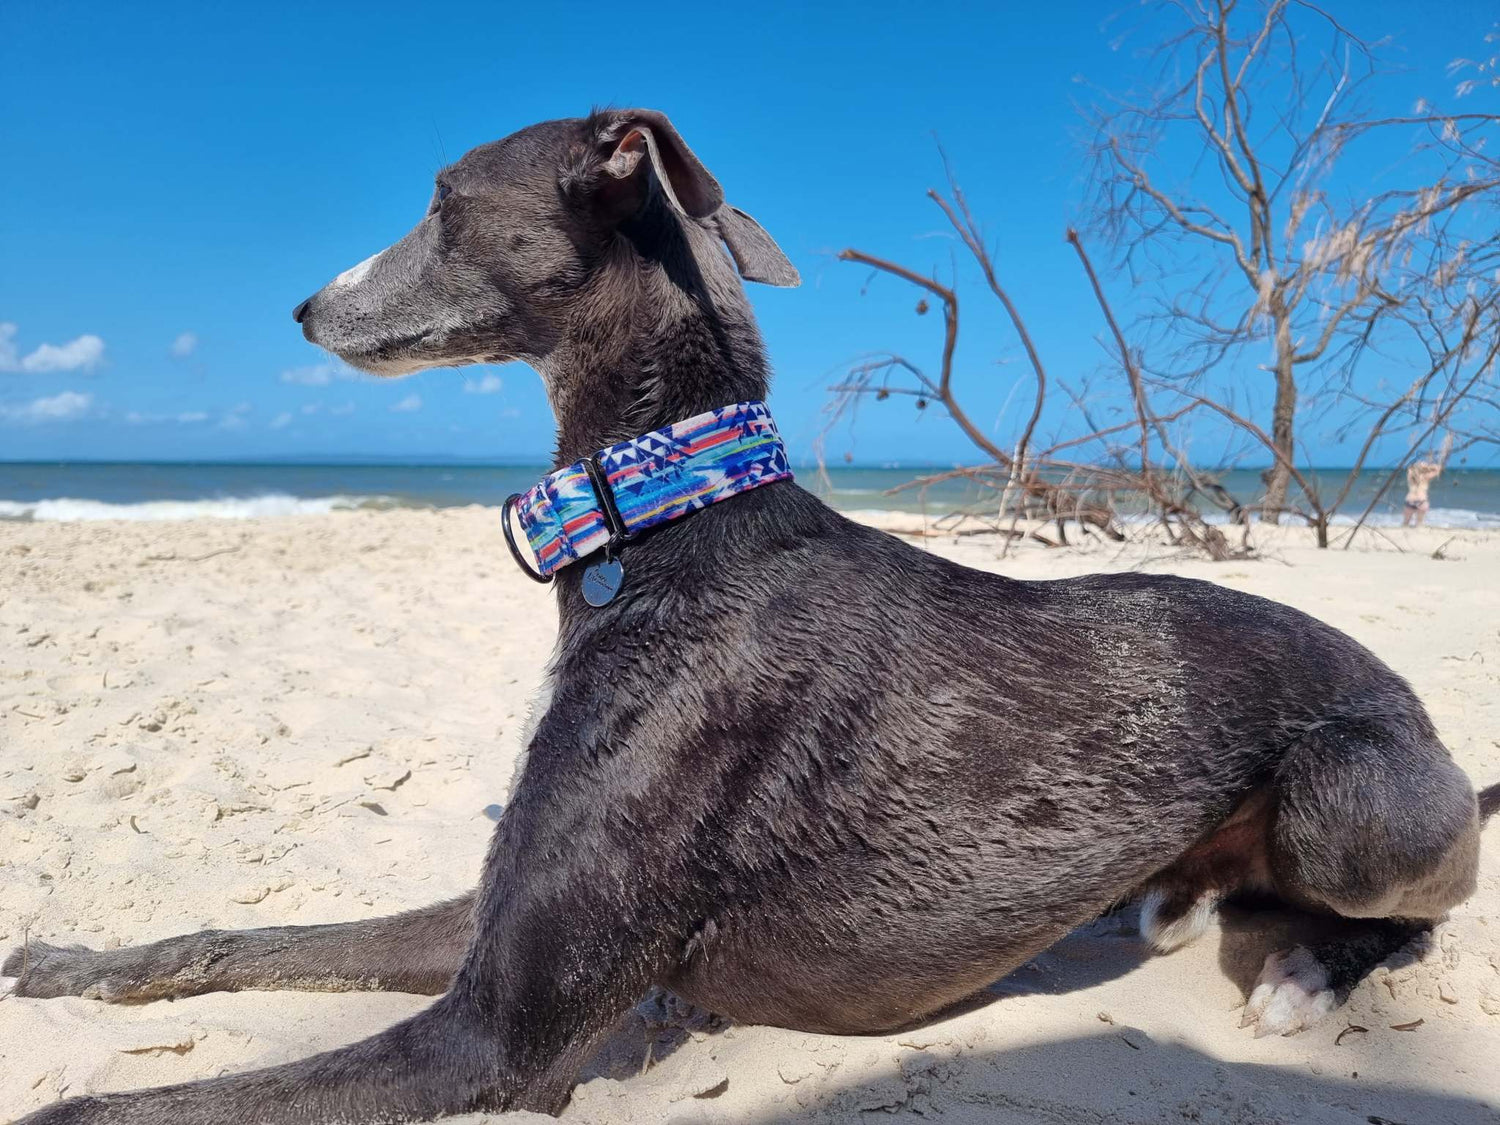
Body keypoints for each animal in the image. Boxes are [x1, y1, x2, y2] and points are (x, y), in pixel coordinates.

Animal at [5, 108, 1494, 1125]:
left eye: (440, 199)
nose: (305, 307)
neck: (668, 521)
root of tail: (1430, 732)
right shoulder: (488, 931)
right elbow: (238, 941)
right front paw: (64, 959)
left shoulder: (495, 1036)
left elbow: (118, 1106)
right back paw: (1177, 898)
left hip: (1352, 793)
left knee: (1424, 901)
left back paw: (1304, 976)